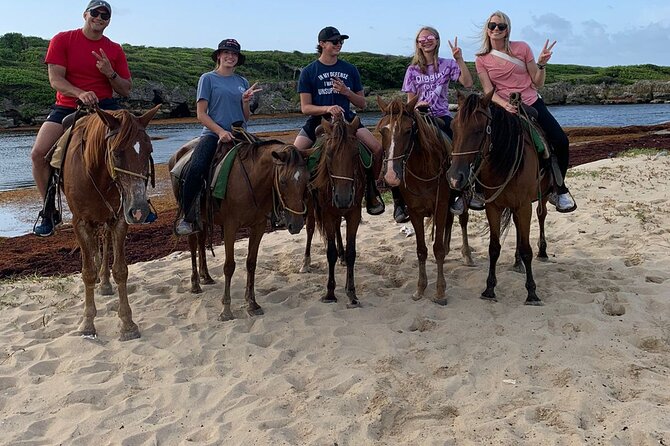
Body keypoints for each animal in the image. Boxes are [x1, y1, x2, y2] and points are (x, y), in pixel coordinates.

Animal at [63, 105, 163, 342]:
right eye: (116, 153)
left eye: (149, 150)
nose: (139, 210)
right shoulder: (80, 223)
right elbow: (87, 273)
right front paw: (87, 323)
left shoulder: (118, 220)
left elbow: (120, 270)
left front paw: (127, 324)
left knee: (104, 242)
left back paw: (105, 282)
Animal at [171, 138, 312, 318]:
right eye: (282, 181)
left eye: (307, 179)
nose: (297, 224)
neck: (251, 179)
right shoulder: (230, 227)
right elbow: (229, 266)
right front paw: (226, 309)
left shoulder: (258, 226)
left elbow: (251, 263)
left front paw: (252, 303)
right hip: (190, 215)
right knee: (192, 243)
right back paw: (195, 284)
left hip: (203, 217)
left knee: (201, 242)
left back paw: (206, 276)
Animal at [308, 115, 368, 306]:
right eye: (328, 154)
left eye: (356, 153)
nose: (342, 198)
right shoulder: (327, 213)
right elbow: (330, 253)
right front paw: (330, 293)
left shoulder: (354, 213)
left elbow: (351, 252)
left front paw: (351, 292)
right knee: (311, 229)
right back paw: (305, 262)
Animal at [378, 96, 478, 306]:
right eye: (383, 130)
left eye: (408, 130)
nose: (391, 175)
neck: (423, 169)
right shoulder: (415, 212)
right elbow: (421, 250)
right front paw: (420, 288)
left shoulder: (440, 206)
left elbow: (437, 248)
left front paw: (440, 292)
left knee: (462, 221)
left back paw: (467, 256)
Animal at [446, 91, 552, 306]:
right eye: (453, 127)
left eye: (479, 130)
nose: (454, 178)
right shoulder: (493, 207)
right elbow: (494, 248)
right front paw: (489, 289)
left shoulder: (524, 206)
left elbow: (527, 248)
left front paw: (532, 293)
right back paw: (517, 262)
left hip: (541, 197)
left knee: (542, 215)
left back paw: (542, 252)